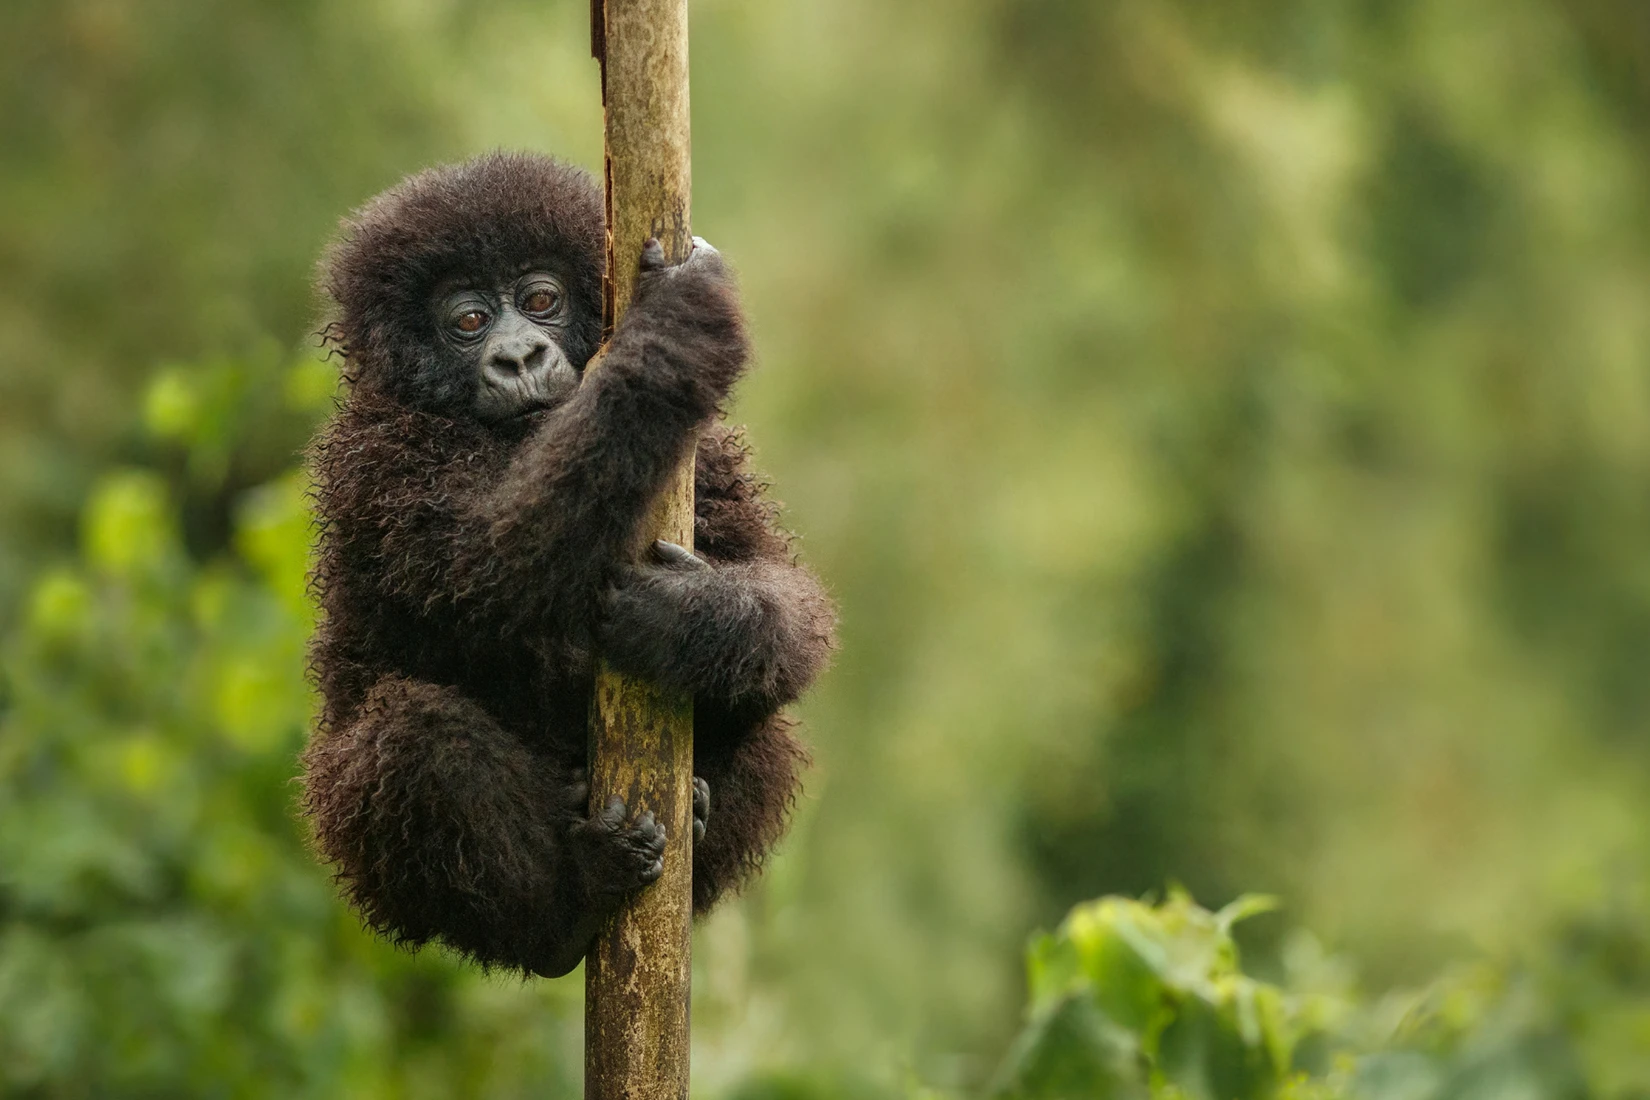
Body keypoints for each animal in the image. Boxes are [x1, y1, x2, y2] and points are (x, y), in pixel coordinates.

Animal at [299, 152, 836, 978]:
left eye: (541, 299)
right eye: (468, 321)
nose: (519, 355)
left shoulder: (708, 455)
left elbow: (785, 596)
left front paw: (688, 620)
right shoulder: (376, 460)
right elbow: (493, 565)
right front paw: (675, 328)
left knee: (767, 720)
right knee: (414, 737)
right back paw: (564, 911)